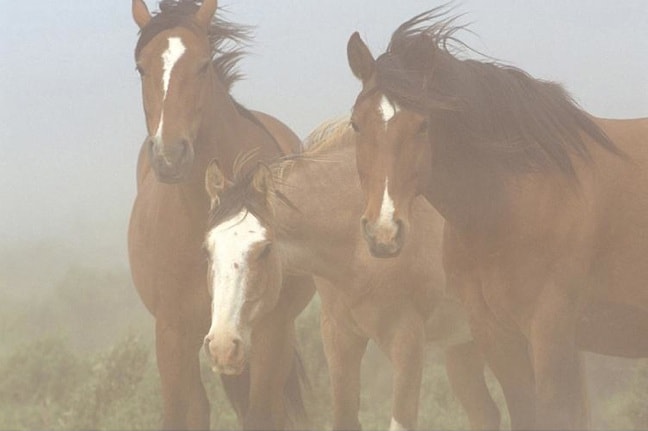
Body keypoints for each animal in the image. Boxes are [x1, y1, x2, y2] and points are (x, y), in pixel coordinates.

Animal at [126, 1, 314, 430]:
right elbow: (181, 413)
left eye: (203, 64)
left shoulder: (269, 329)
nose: (170, 155)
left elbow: (262, 413)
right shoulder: (174, 334)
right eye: (141, 68)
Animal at [200, 120, 504, 431]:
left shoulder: (407, 340)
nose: (223, 346)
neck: (359, 245)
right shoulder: (339, 337)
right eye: (207, 250)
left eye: (264, 249)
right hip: (463, 347)